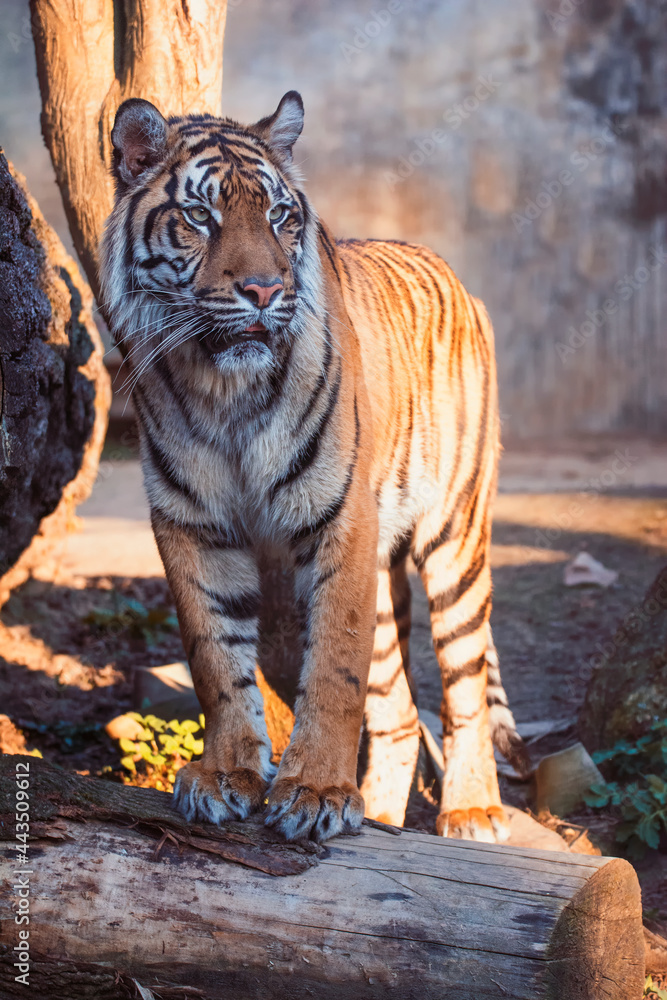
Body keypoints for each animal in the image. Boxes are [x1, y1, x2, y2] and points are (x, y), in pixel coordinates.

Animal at [99, 91, 526, 844]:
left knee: (465, 682)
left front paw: (316, 791)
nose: (266, 290)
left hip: (454, 536)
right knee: (400, 713)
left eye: (279, 215)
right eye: (201, 217)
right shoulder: (191, 525)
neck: (223, 389)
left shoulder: (340, 517)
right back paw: (380, 819)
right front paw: (228, 776)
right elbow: (215, 659)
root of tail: (456, 279)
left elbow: (333, 666)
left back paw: (471, 810)